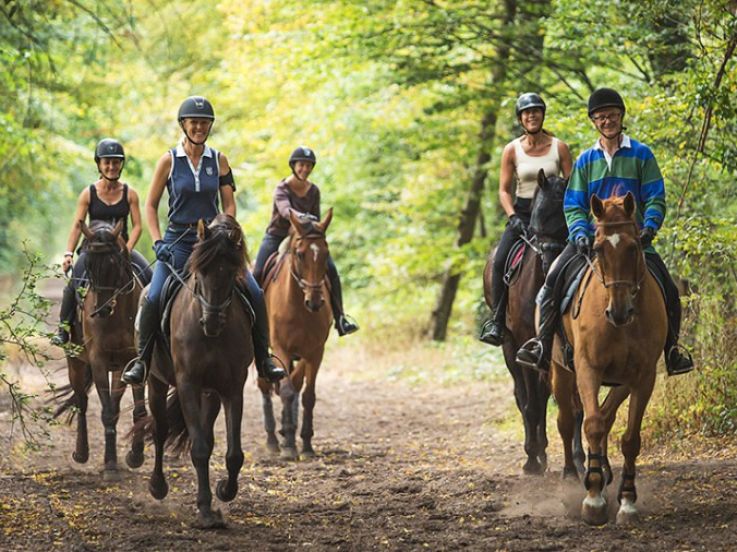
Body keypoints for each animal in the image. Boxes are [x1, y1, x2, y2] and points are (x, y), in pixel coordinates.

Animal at [54, 219, 146, 480]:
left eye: (115, 264)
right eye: (89, 266)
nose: (101, 310)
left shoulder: (132, 361)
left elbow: (134, 410)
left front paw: (134, 456)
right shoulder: (97, 361)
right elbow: (105, 412)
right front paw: (111, 465)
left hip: (117, 368)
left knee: (111, 405)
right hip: (75, 362)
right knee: (81, 403)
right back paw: (81, 453)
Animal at [145, 213, 254, 529]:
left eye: (231, 273)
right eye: (199, 273)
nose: (212, 322)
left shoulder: (233, 388)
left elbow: (233, 453)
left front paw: (224, 491)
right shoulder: (188, 384)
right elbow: (199, 449)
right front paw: (206, 511)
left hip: (211, 393)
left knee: (207, 434)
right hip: (156, 382)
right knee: (159, 429)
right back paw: (158, 486)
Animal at [258, 208, 333, 460]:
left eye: (325, 254)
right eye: (300, 255)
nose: (315, 302)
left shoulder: (315, 351)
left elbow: (306, 394)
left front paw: (306, 444)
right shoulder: (281, 348)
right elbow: (287, 391)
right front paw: (290, 446)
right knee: (264, 385)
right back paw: (273, 439)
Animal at [483, 169, 583, 475]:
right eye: (538, 214)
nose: (550, 259)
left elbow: (574, 404)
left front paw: (578, 457)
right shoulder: (521, 344)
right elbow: (532, 405)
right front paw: (531, 459)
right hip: (508, 347)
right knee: (525, 397)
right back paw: (536, 453)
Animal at [551, 192, 667, 526]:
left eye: (634, 247)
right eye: (598, 248)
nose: (619, 312)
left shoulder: (642, 376)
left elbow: (628, 438)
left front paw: (626, 501)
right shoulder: (587, 369)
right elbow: (591, 425)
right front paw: (593, 500)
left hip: (620, 381)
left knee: (606, 413)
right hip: (560, 372)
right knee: (567, 421)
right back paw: (573, 477)